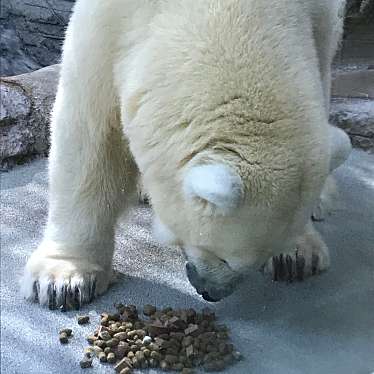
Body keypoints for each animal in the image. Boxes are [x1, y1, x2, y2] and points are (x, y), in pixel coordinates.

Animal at [21, 0, 350, 306]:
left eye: (253, 261)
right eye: (225, 257)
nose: (210, 292)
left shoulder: (320, 21)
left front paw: (296, 255)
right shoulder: (108, 25)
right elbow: (89, 132)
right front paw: (62, 280)